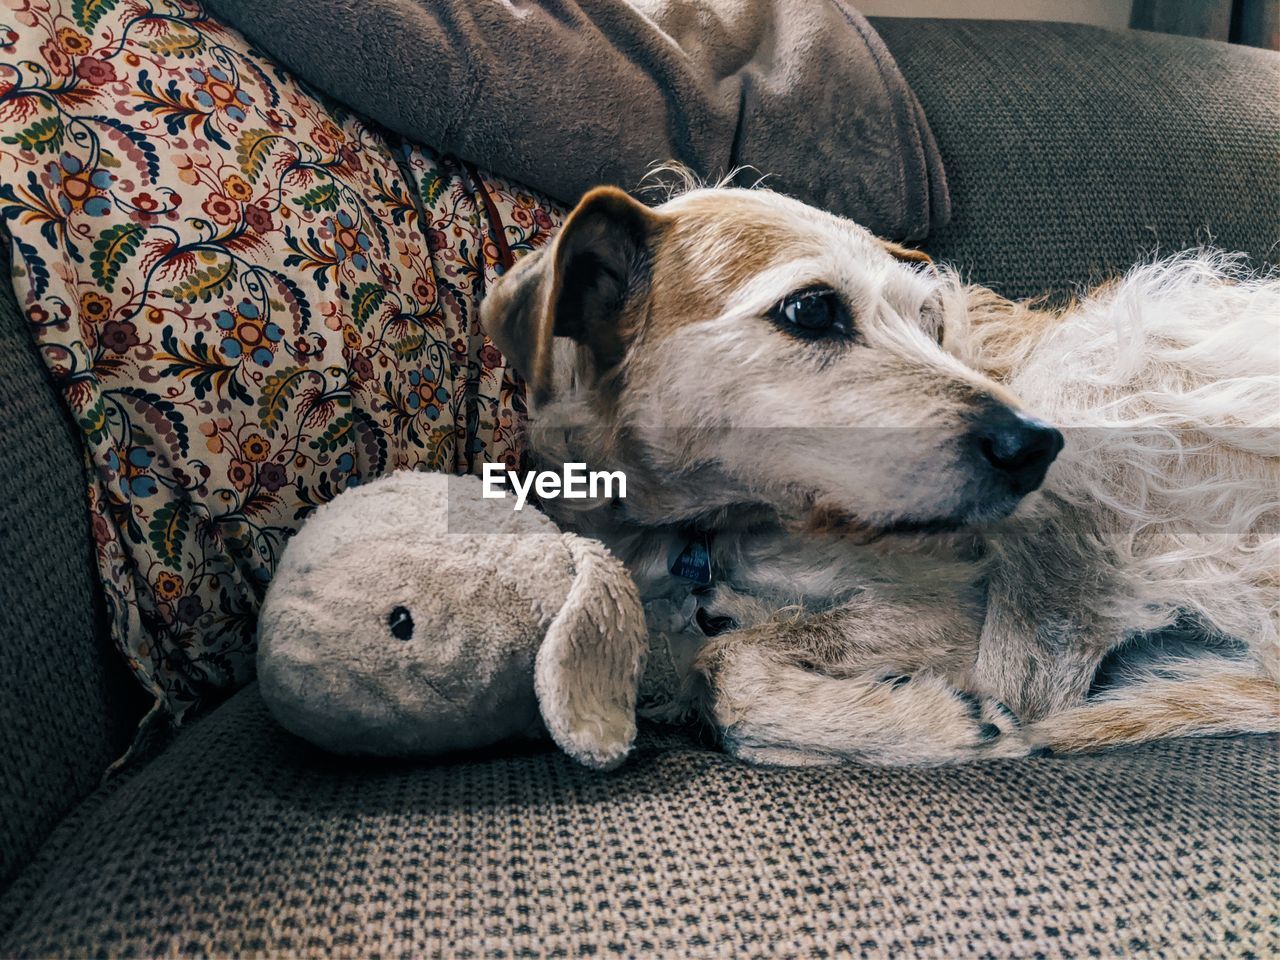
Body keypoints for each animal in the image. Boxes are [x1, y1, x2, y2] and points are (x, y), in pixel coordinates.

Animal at [481, 179, 1280, 768]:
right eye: (810, 309)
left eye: (929, 324)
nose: (1037, 447)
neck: (700, 533)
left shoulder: (943, 598)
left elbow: (728, 668)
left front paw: (925, 720)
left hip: (1089, 390)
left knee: (1034, 688)